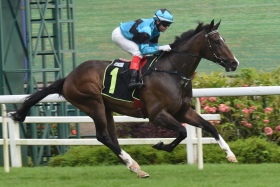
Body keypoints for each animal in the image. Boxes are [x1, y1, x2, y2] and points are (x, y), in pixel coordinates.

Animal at [12, 19, 240, 178]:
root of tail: (68, 77)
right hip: (92, 103)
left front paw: (230, 154)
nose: (234, 63)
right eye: (217, 41)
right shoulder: (157, 114)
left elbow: (210, 127)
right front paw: (161, 146)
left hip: (106, 109)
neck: (172, 71)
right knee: (103, 136)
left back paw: (136, 169)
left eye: (224, 40)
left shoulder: (183, 111)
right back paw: (134, 164)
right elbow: (183, 132)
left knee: (111, 138)